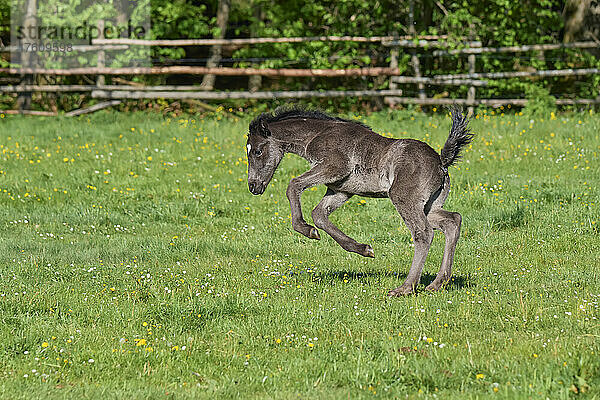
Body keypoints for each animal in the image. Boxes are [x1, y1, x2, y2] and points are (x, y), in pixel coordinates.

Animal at [246, 108, 472, 296]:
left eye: (257, 151)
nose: (253, 186)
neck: (317, 135)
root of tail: (441, 162)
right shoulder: (341, 189)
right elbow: (319, 214)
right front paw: (363, 249)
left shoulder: (334, 167)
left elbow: (293, 185)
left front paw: (305, 229)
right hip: (429, 206)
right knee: (453, 220)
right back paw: (437, 283)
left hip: (403, 198)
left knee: (423, 233)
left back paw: (405, 287)